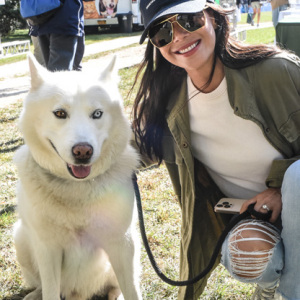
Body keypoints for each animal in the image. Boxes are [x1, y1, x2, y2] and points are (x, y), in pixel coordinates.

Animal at [12, 54, 142, 300]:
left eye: (97, 114)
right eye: (60, 113)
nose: (83, 151)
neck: (76, 188)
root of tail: (77, 294)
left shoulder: (122, 243)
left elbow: (132, 291)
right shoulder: (47, 249)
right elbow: (50, 291)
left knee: (115, 287)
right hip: (21, 238)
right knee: (42, 285)